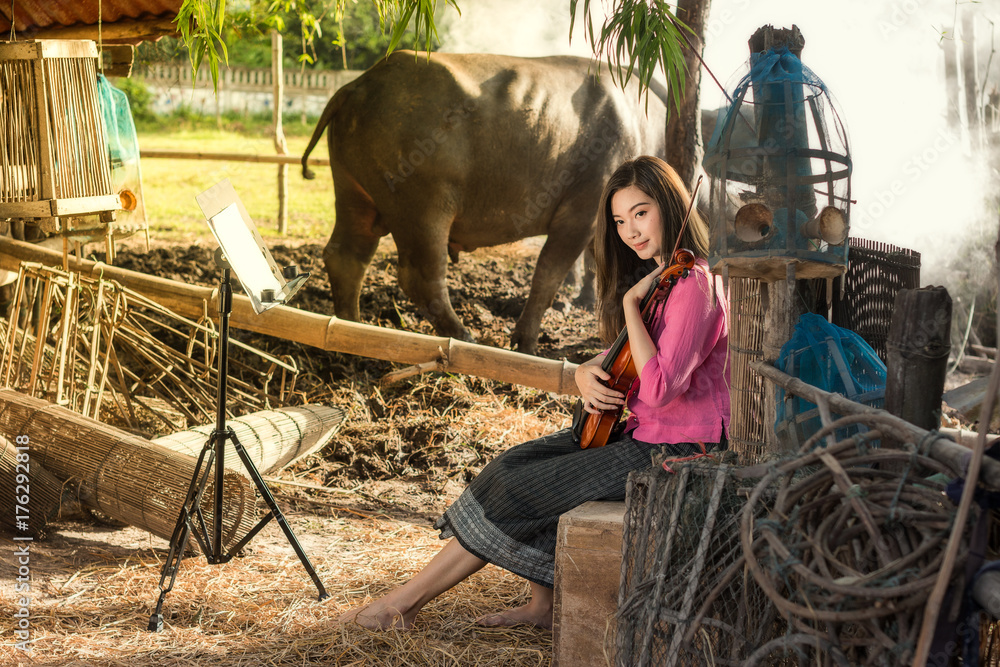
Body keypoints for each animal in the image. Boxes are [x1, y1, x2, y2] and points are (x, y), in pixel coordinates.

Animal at [300, 51, 668, 354]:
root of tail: (358, 86)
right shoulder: (582, 211)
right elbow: (547, 276)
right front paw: (525, 342)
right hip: (423, 210)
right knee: (422, 277)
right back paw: (462, 335)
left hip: (354, 196)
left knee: (347, 258)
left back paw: (349, 331)